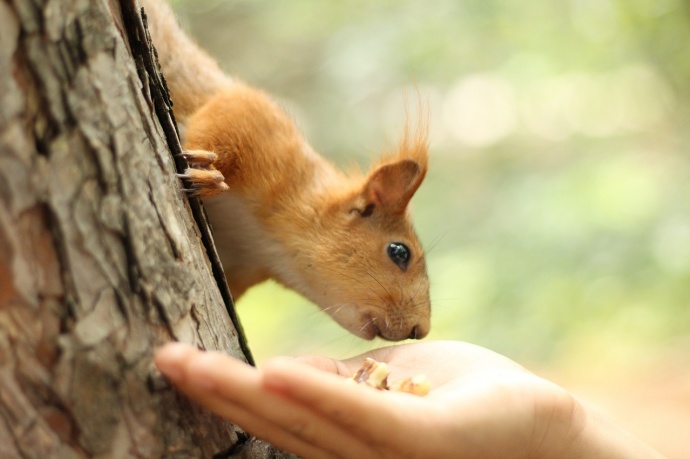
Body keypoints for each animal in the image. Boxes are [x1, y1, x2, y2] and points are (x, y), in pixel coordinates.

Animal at [140, 0, 430, 342]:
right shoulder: (256, 120)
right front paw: (207, 173)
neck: (267, 244)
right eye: (399, 252)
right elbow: (219, 124)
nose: (421, 329)